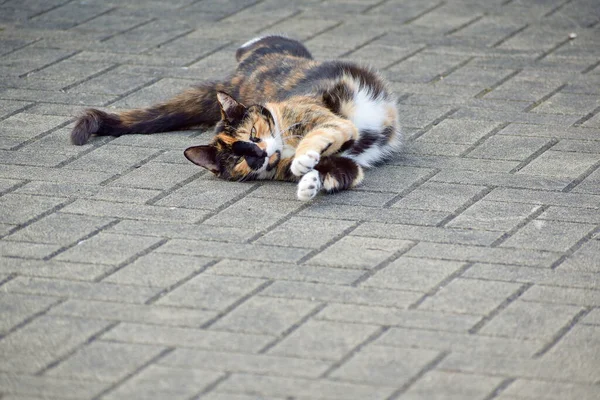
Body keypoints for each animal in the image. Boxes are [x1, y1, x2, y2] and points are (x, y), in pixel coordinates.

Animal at [70, 35, 400, 200]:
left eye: (253, 135)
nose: (259, 154)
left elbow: (321, 132)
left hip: (281, 51)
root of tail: (234, 80)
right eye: (241, 158)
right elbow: (339, 172)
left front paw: (305, 159)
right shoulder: (346, 164)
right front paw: (309, 183)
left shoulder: (324, 117)